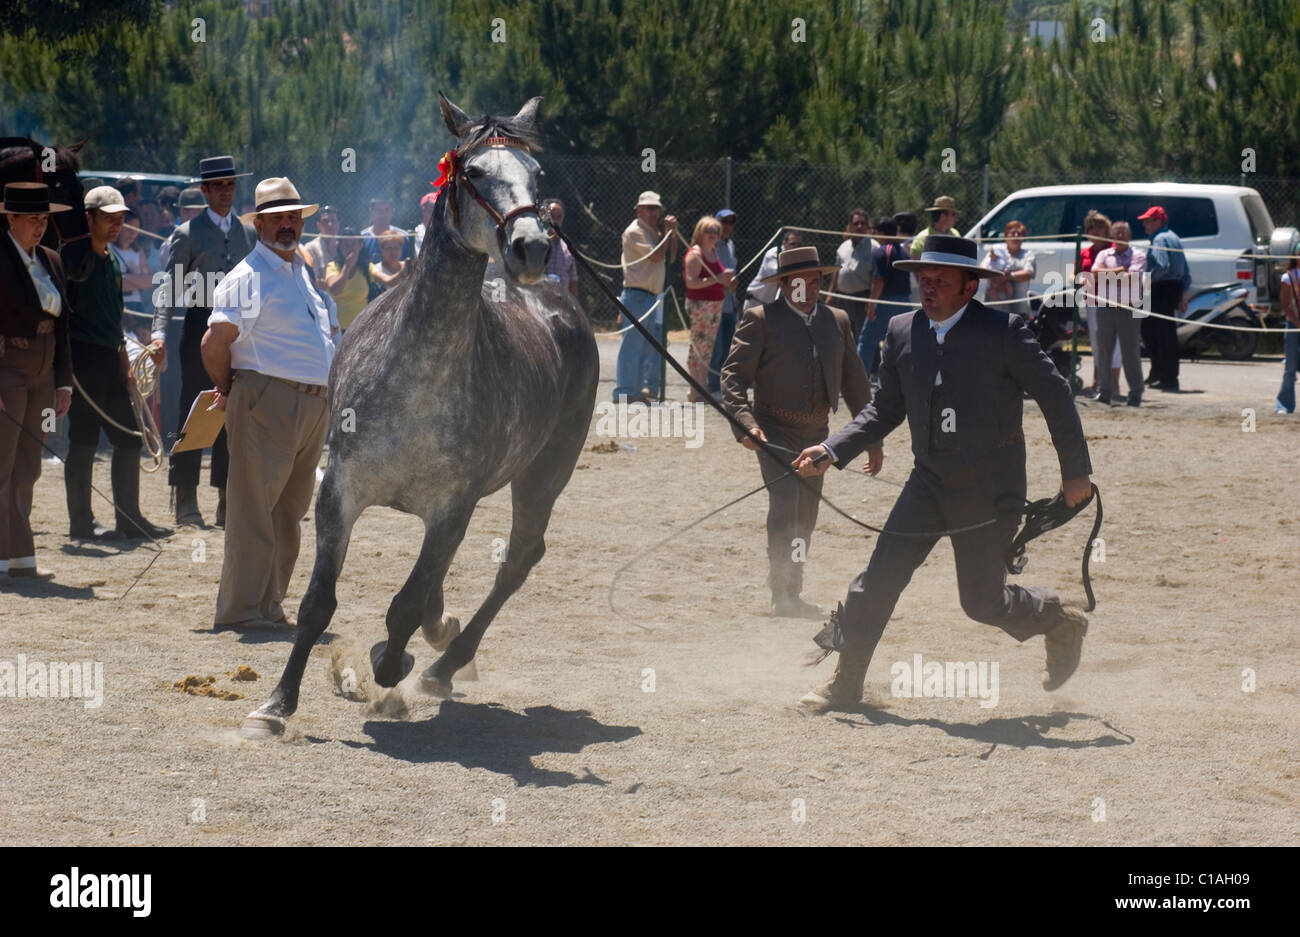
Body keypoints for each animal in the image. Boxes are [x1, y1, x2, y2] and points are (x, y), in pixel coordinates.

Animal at [243, 96, 598, 738]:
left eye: (537, 176)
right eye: (475, 172)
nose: (532, 246)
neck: (418, 373)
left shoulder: (452, 506)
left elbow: (403, 606)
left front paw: (391, 663)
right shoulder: (340, 491)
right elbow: (317, 603)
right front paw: (276, 705)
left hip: (545, 473)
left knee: (518, 558)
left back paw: (442, 664)